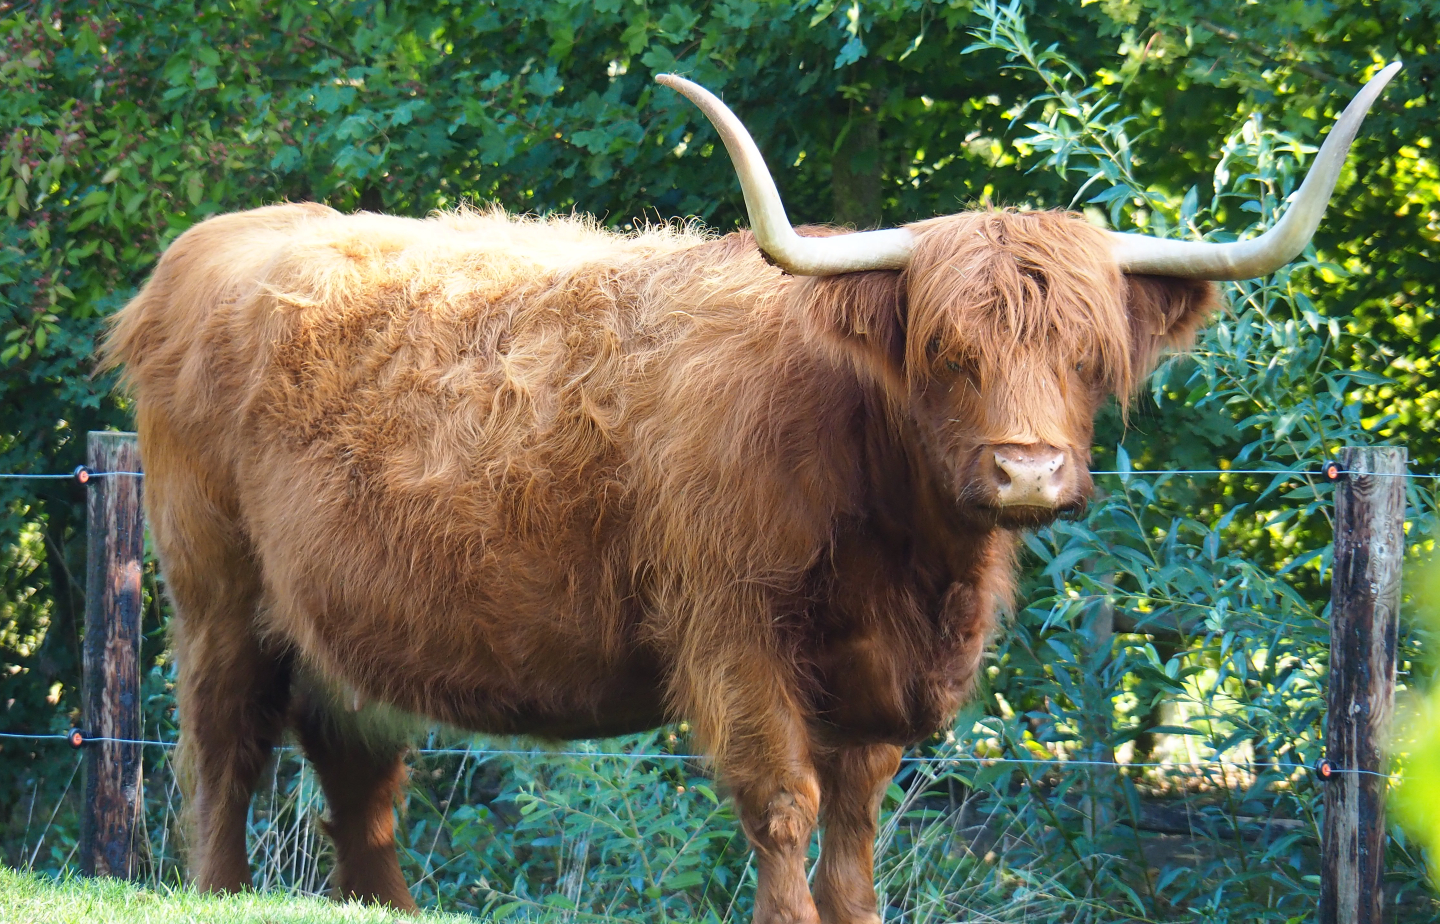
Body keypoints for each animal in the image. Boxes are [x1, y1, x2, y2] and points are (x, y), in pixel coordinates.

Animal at [101, 66, 1398, 922]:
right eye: (945, 351)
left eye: (1088, 355)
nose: (1027, 469)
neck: (903, 551)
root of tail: (206, 248)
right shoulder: (734, 632)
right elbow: (782, 804)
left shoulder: (877, 679)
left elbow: (857, 825)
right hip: (215, 595)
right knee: (222, 755)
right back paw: (217, 884)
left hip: (342, 630)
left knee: (359, 779)